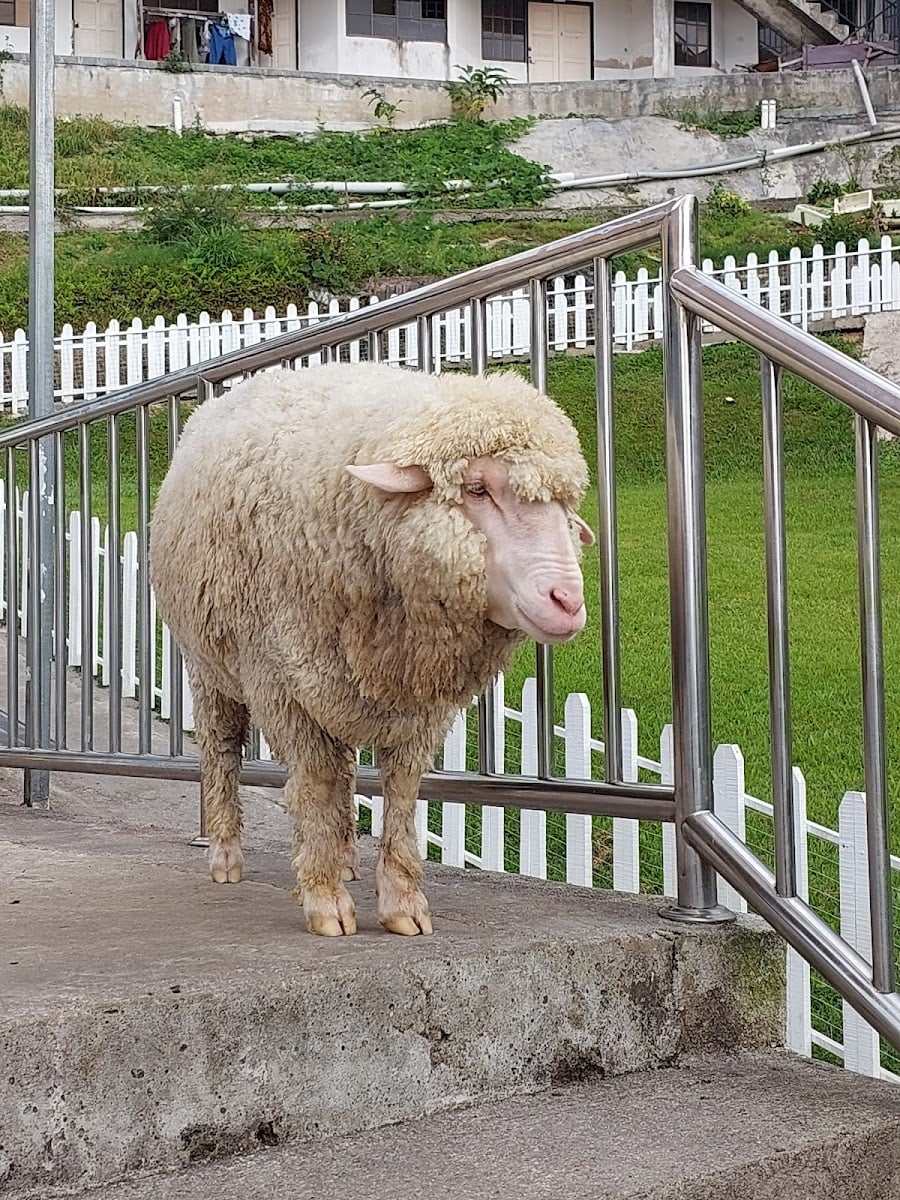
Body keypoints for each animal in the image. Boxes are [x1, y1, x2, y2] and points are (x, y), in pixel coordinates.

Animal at [149, 361, 594, 937]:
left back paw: (342, 856)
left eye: (565, 505)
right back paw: (226, 854)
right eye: (476, 488)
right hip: (210, 665)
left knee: (341, 769)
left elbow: (399, 792)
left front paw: (402, 902)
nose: (567, 601)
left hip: (338, 681)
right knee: (222, 751)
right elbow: (313, 782)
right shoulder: (279, 680)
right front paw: (323, 900)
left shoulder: (414, 701)